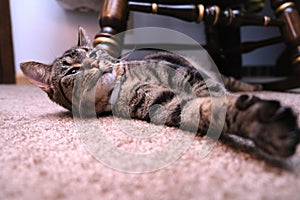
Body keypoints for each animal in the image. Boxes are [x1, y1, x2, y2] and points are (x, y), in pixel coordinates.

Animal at [21, 27, 300, 158]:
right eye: (71, 71)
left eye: (93, 53)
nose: (94, 64)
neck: (118, 89)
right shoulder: (163, 103)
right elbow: (205, 109)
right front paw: (259, 124)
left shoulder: (188, 74)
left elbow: (213, 94)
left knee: (239, 82)